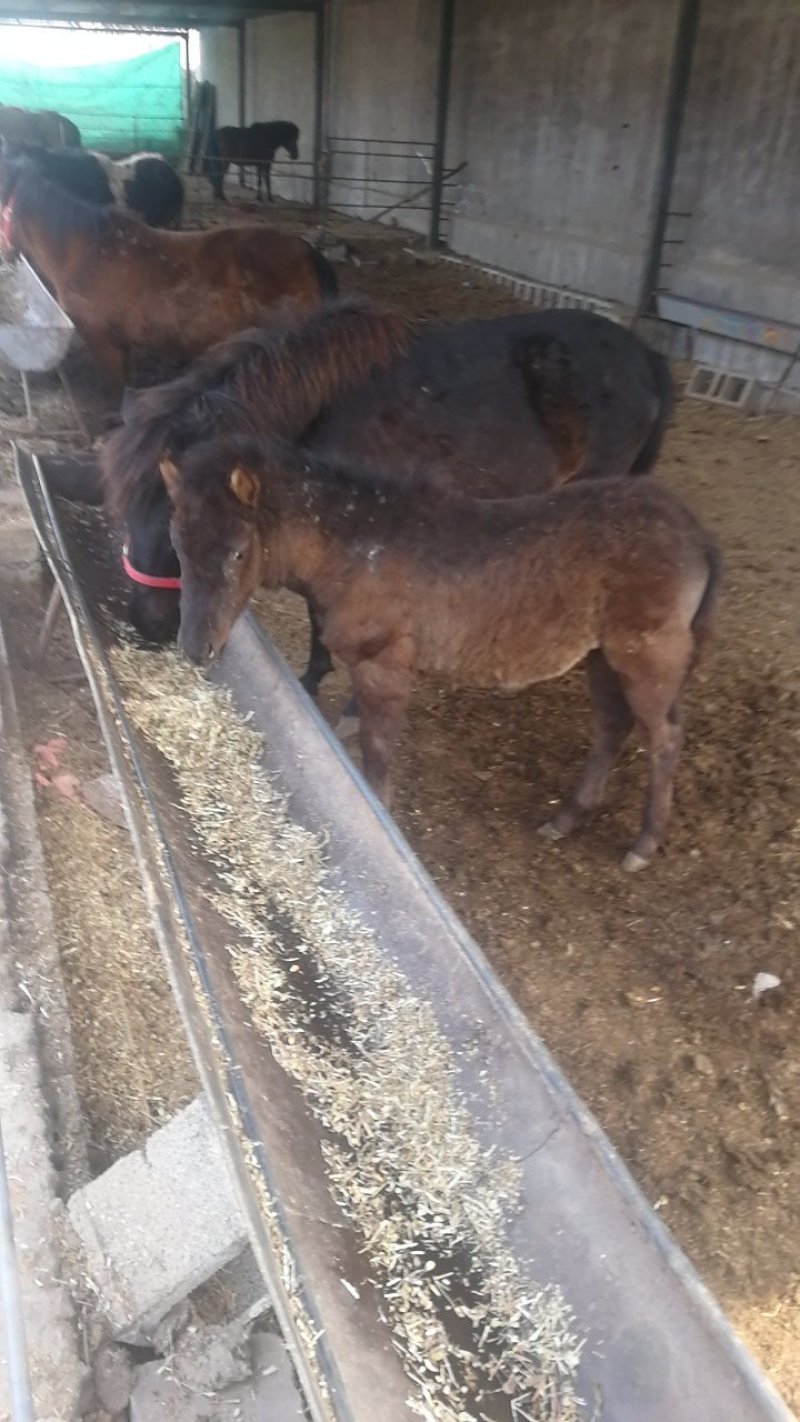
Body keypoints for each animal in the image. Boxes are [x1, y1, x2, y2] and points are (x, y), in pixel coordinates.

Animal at [162, 434, 721, 871]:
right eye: (178, 543)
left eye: (238, 551)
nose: (195, 648)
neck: (355, 545)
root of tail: (695, 532)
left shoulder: (384, 666)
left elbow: (377, 753)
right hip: (603, 656)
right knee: (611, 727)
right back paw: (566, 818)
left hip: (645, 657)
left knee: (664, 737)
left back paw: (643, 844)